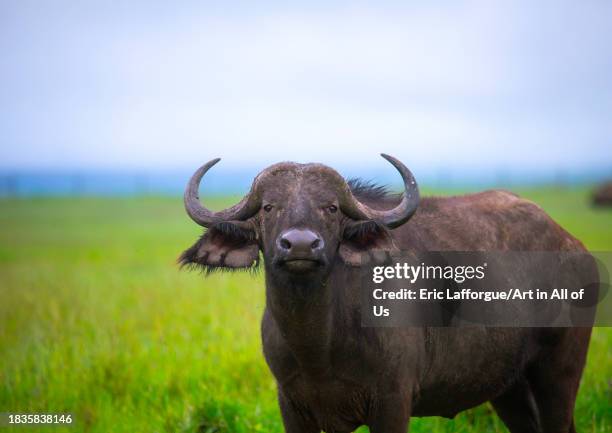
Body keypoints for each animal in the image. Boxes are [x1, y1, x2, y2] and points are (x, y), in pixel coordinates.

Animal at [180, 155, 592, 432]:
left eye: (331, 208)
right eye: (268, 207)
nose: (300, 244)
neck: (319, 347)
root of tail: (573, 246)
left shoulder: (393, 402)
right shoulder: (293, 405)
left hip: (559, 374)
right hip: (509, 388)